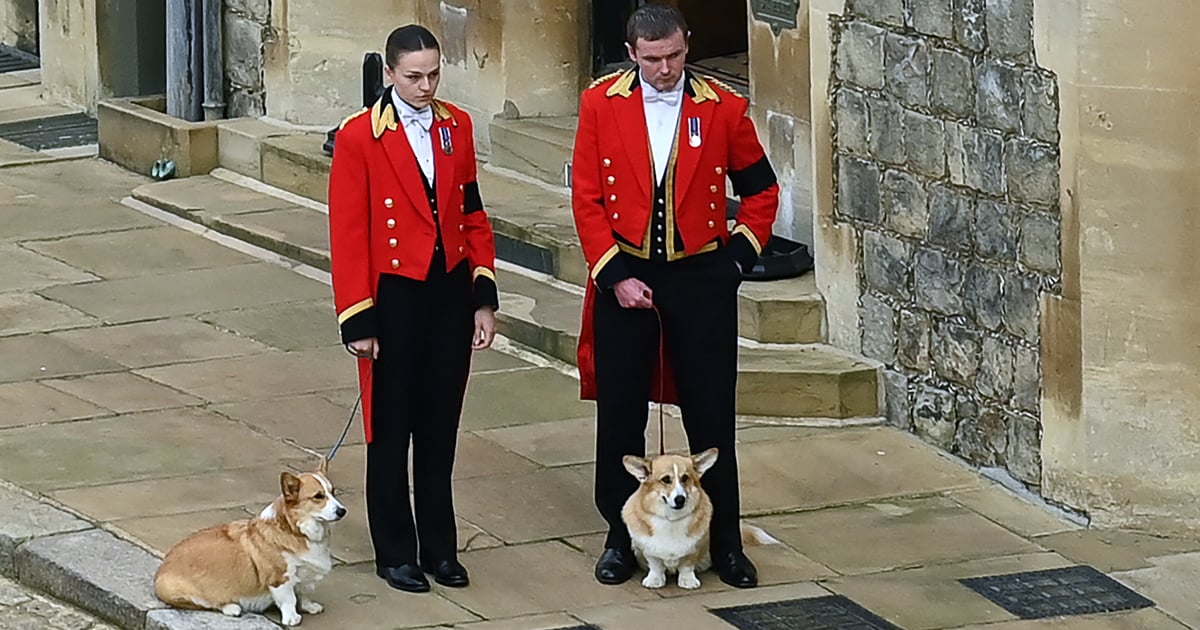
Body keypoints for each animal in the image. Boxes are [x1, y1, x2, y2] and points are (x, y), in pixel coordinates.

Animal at [152, 458, 345, 624]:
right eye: (318, 496)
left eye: (333, 492)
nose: (343, 511)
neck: (295, 530)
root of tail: (162, 568)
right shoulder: (281, 578)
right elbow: (289, 598)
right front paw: (292, 618)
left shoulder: (304, 576)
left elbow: (303, 594)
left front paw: (309, 607)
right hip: (181, 592)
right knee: (207, 604)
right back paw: (231, 607)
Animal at [619, 446, 777, 590]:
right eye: (665, 480)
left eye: (685, 478)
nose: (680, 499)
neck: (672, 520)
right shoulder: (648, 549)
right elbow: (655, 564)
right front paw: (654, 580)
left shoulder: (694, 548)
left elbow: (687, 565)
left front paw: (688, 581)